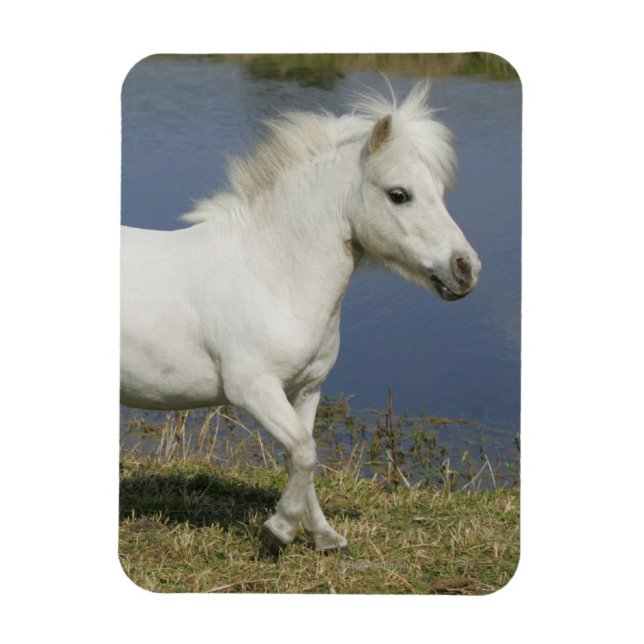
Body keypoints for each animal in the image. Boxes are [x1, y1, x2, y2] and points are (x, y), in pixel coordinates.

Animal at [120, 80, 481, 556]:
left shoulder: (306, 389)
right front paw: (278, 531)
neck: (271, 270)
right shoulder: (253, 388)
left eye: (440, 190)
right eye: (399, 194)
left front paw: (324, 537)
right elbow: (305, 453)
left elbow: (303, 456)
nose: (466, 269)